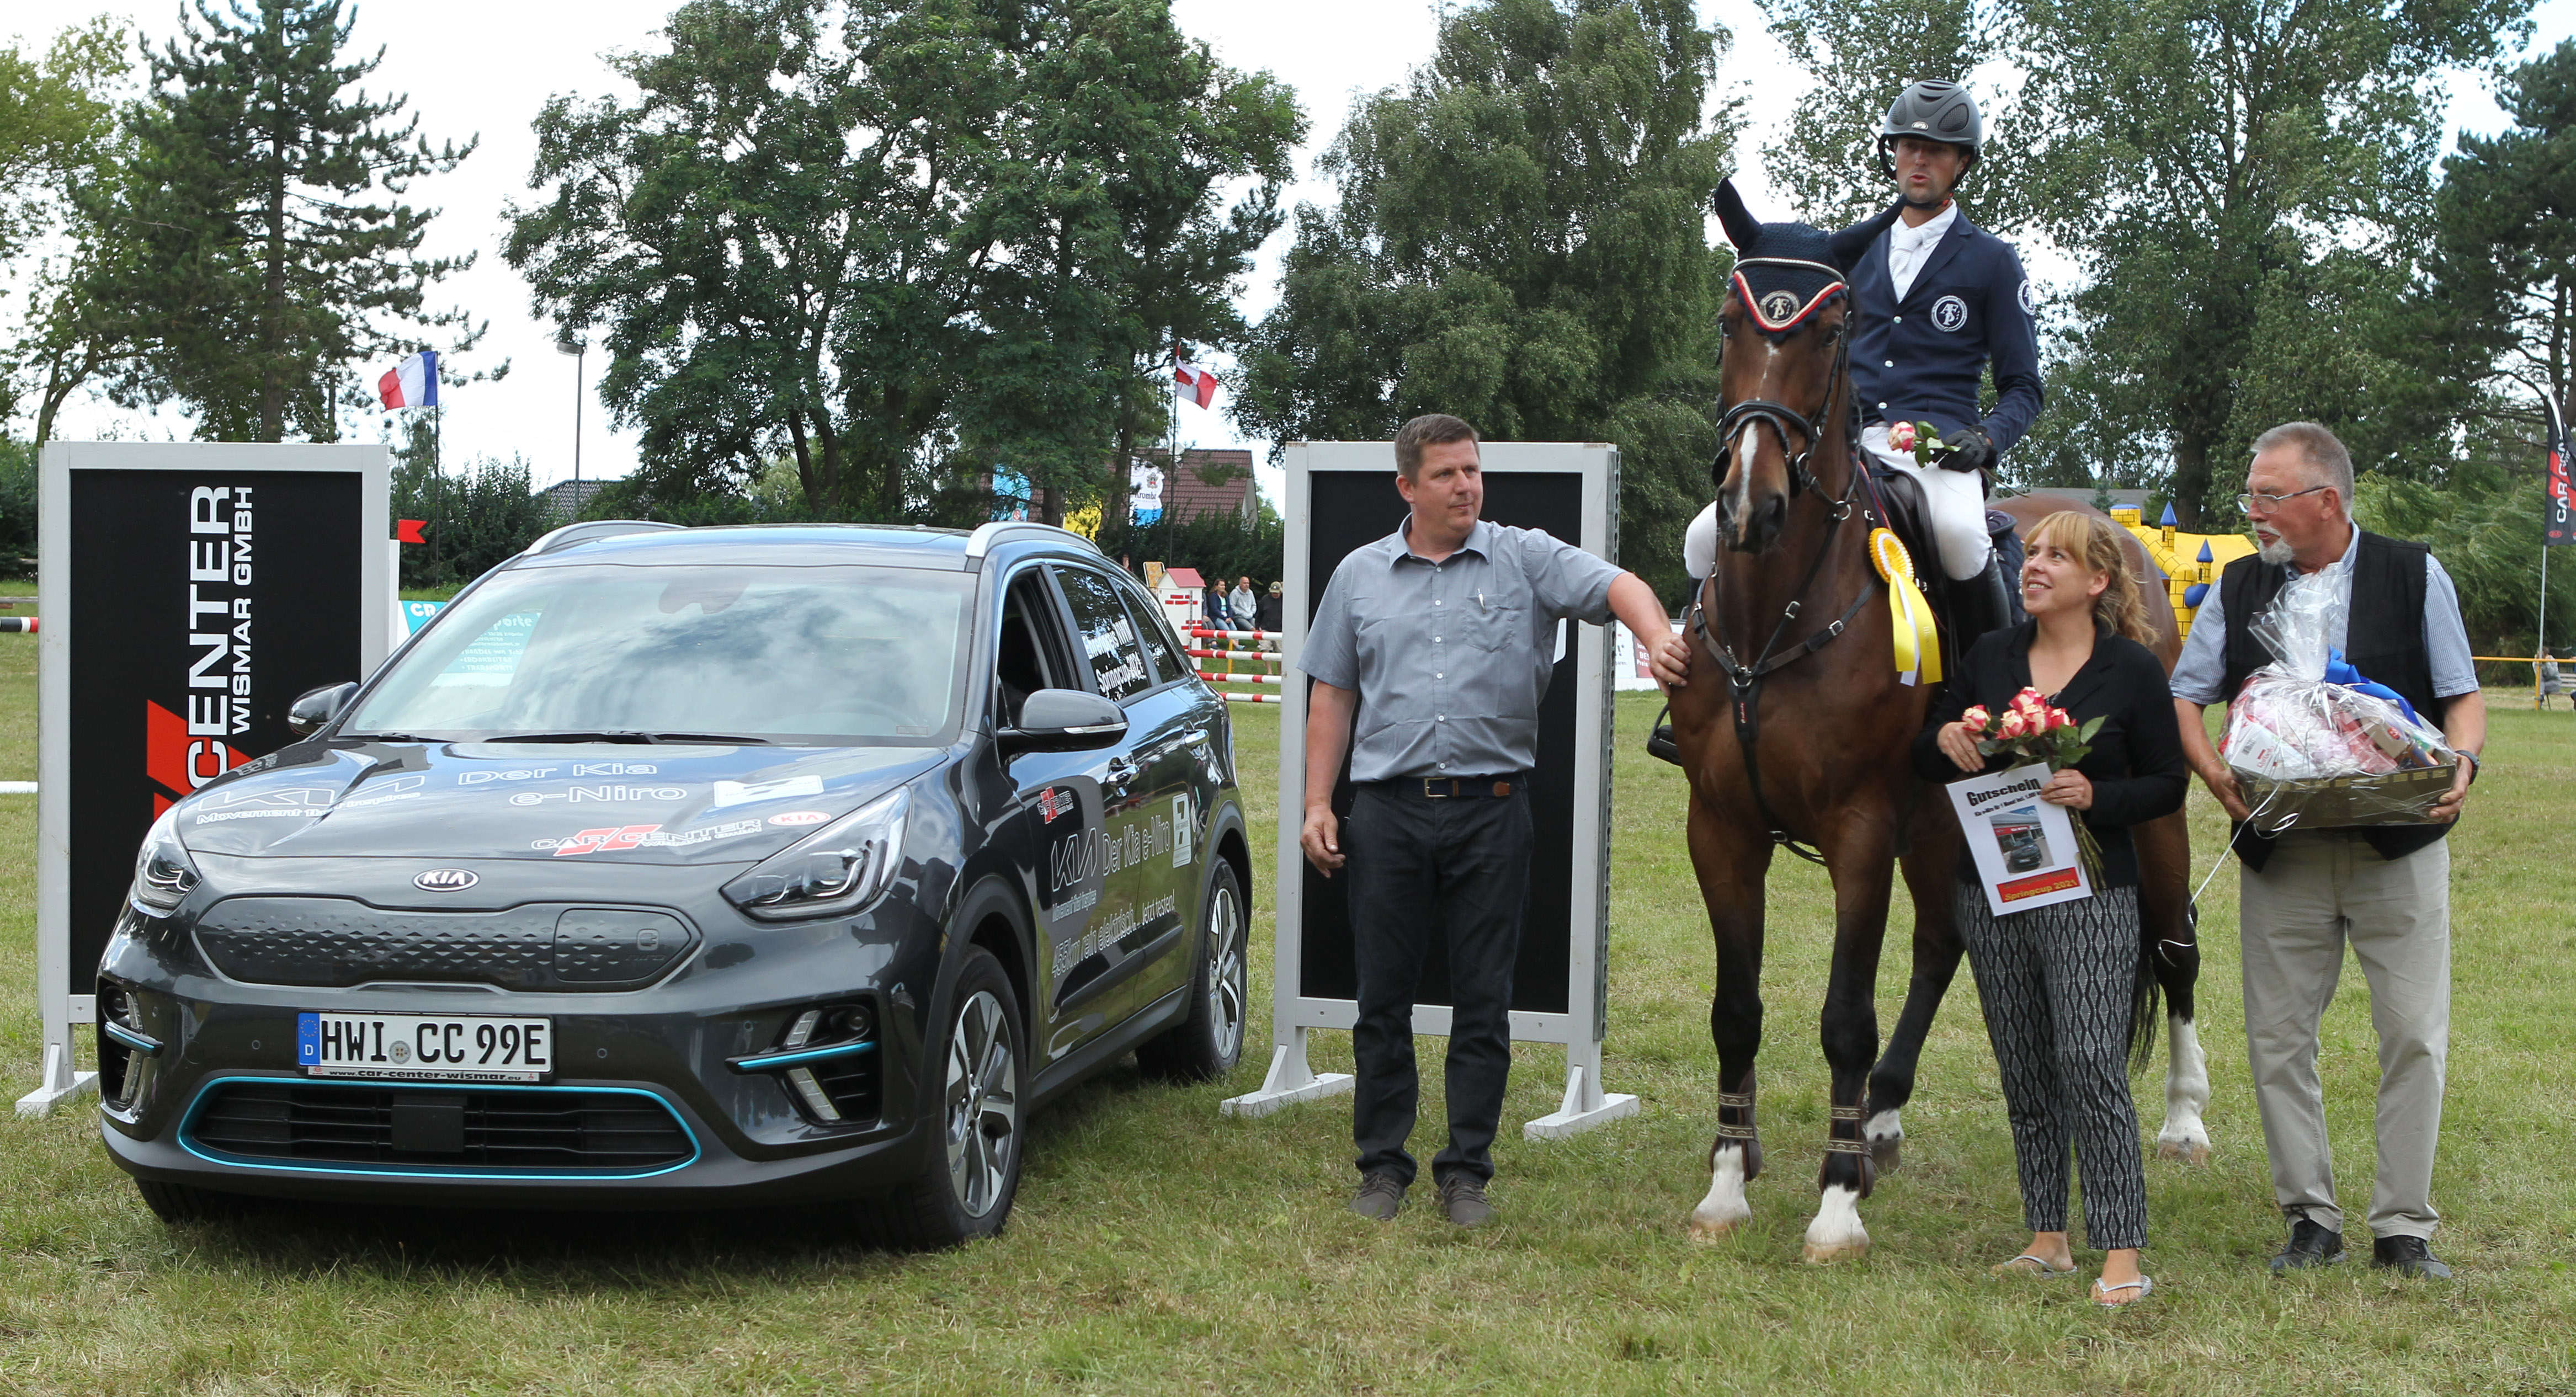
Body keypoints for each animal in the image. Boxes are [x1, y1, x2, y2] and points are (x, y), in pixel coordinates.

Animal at [1669, 180, 2215, 1263]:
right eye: (1728, 324)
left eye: (1831, 328)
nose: (1750, 505)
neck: (1773, 609)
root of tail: (2127, 537)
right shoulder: (1722, 825)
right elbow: (1736, 1009)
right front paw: (1726, 1183)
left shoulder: (1858, 825)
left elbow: (1843, 1012)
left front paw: (1834, 1203)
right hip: (1940, 816)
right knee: (1942, 943)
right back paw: (1880, 1114)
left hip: (2142, 812)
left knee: (2173, 942)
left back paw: (2182, 1118)